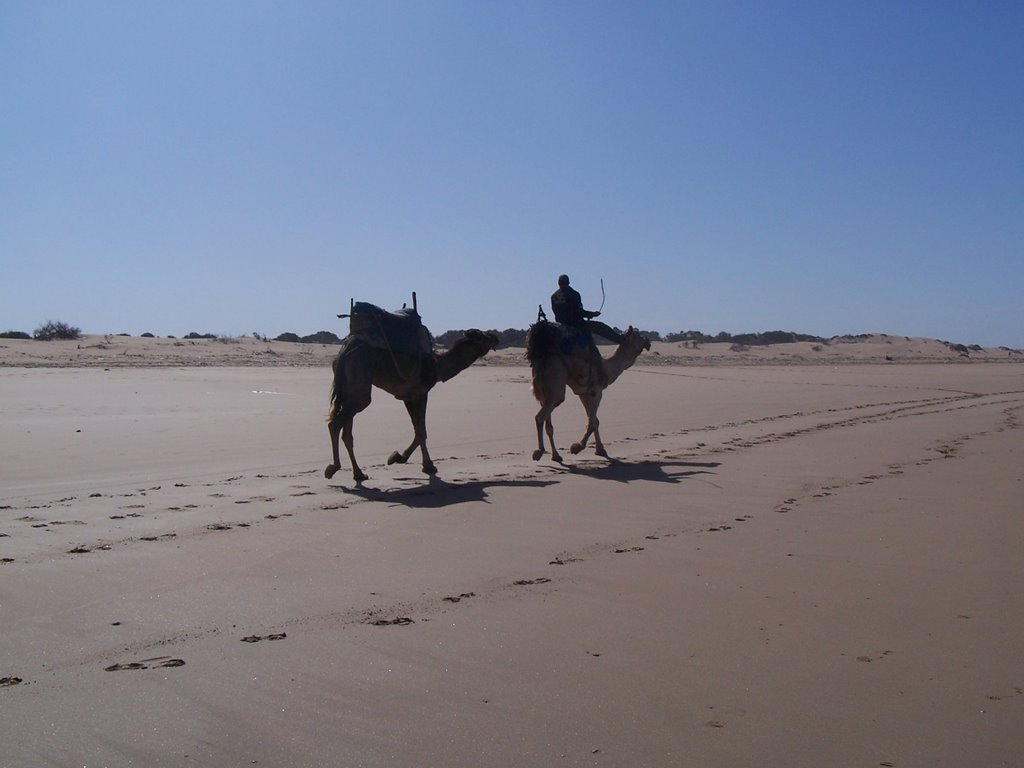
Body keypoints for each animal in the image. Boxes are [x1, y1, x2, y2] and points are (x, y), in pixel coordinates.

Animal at [325, 327, 497, 483]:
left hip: (349, 389)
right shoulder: (420, 393)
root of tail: (344, 351)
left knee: (347, 433)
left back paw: (359, 474)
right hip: (359, 379)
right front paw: (426, 465)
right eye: (480, 336)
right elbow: (422, 431)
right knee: (337, 423)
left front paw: (398, 457)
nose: (494, 336)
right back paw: (333, 468)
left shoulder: (407, 397)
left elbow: (418, 430)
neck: (437, 365)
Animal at [528, 319, 647, 462]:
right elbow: (591, 422)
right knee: (541, 416)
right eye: (638, 336)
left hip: (543, 391)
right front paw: (576, 447)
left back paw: (556, 456)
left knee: (548, 423)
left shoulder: (584, 394)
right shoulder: (596, 392)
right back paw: (539, 452)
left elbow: (595, 421)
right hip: (556, 383)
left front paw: (600, 450)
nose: (648, 341)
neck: (606, 369)